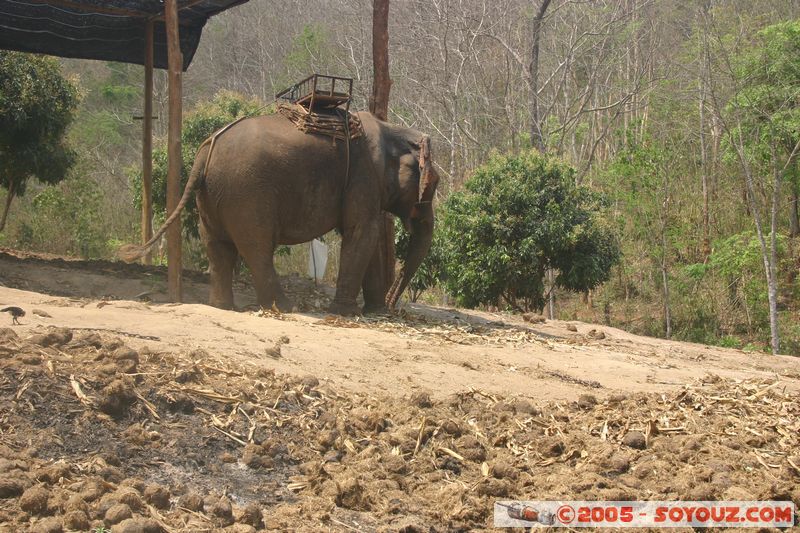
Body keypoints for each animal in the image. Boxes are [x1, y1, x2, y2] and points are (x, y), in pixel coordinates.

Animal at [120, 110, 438, 314]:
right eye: (434, 185)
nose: (394, 306)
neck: (392, 129)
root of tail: (204, 152)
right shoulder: (364, 175)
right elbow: (362, 232)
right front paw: (346, 313)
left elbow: (364, 234)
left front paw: (374, 311)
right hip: (247, 194)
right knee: (256, 247)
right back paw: (284, 307)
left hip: (211, 196)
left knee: (218, 246)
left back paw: (223, 307)